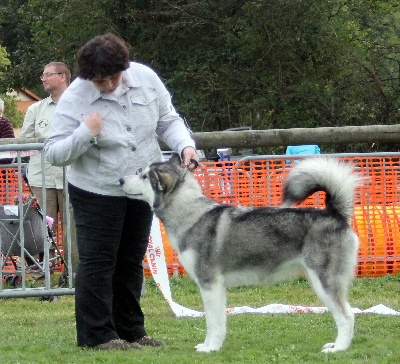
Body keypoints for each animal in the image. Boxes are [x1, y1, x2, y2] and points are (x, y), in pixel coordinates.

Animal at [119, 154, 360, 352]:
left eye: (143, 176)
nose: (120, 181)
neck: (190, 213)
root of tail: (335, 215)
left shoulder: (210, 284)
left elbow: (213, 323)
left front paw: (211, 348)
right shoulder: (215, 288)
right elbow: (215, 321)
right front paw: (209, 345)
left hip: (324, 282)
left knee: (347, 316)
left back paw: (338, 348)